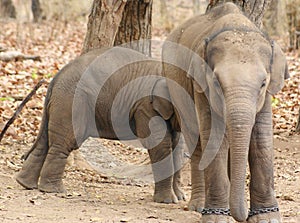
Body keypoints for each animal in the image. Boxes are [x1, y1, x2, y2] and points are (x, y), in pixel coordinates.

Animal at [15, 46, 188, 204]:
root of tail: (56, 77)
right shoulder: (146, 107)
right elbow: (160, 144)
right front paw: (168, 201)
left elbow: (176, 145)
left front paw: (180, 198)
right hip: (71, 101)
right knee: (64, 143)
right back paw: (54, 190)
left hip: (61, 102)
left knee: (45, 141)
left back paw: (26, 184)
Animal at [163, 2, 290, 223]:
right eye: (216, 82)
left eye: (263, 83)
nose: (243, 216)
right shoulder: (201, 87)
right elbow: (213, 137)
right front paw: (217, 218)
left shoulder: (266, 97)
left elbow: (261, 138)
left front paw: (267, 217)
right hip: (176, 88)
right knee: (196, 140)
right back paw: (198, 206)